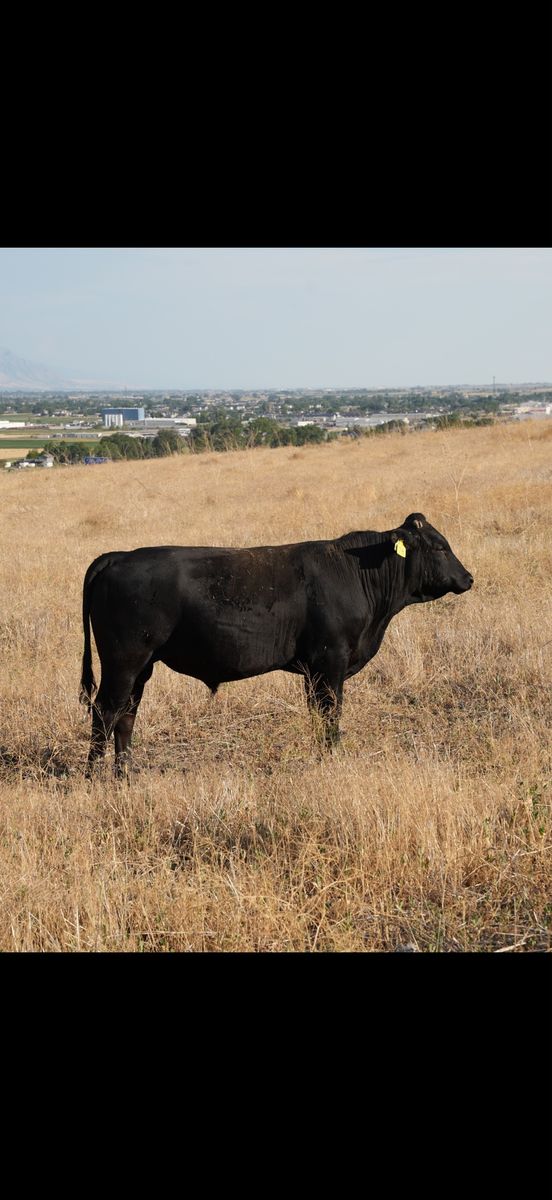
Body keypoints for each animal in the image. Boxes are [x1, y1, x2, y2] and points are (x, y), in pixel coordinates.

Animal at [80, 512, 473, 776]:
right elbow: (331, 712)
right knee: (106, 712)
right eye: (439, 546)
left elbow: (318, 712)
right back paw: (94, 775)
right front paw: (333, 756)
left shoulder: (313, 670)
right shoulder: (331, 662)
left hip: (141, 666)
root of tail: (119, 556)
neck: (355, 573)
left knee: (127, 714)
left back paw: (124, 775)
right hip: (124, 661)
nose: (468, 577)